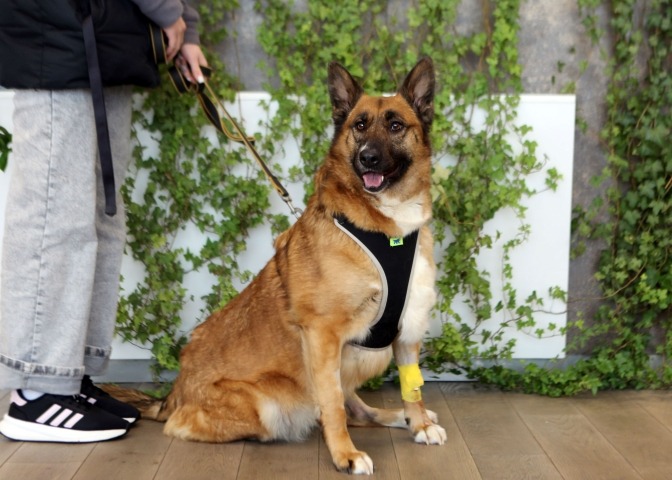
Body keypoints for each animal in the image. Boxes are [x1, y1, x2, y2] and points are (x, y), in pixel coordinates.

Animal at [108, 57, 446, 475]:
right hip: (265, 404)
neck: (388, 230)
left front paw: (417, 423)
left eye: (396, 125)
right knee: (189, 424)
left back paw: (400, 417)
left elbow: (411, 389)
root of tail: (175, 391)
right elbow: (332, 406)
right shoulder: (322, 336)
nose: (367, 157)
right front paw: (345, 454)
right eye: (359, 125)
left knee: (359, 409)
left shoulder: (407, 329)